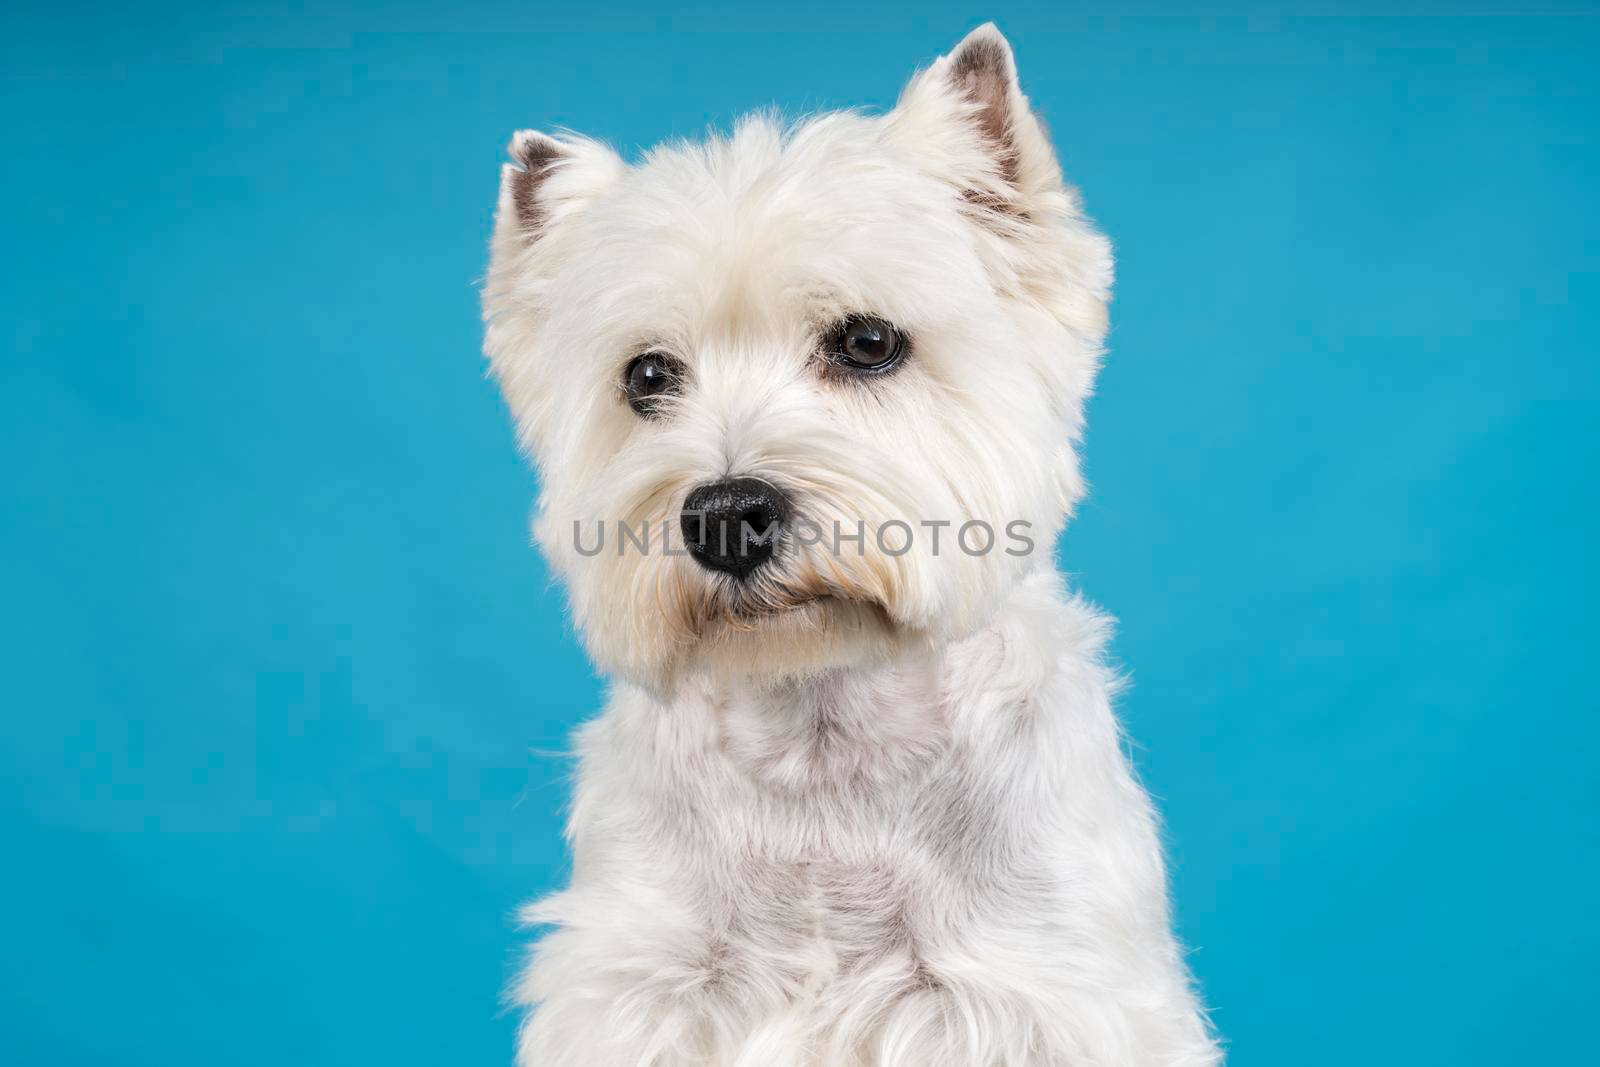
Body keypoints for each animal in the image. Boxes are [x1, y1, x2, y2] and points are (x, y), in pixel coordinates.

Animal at [480, 24, 1216, 1067]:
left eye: (868, 342)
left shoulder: (1046, 988)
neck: (824, 750)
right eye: (647, 375)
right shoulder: (639, 982)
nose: (724, 515)